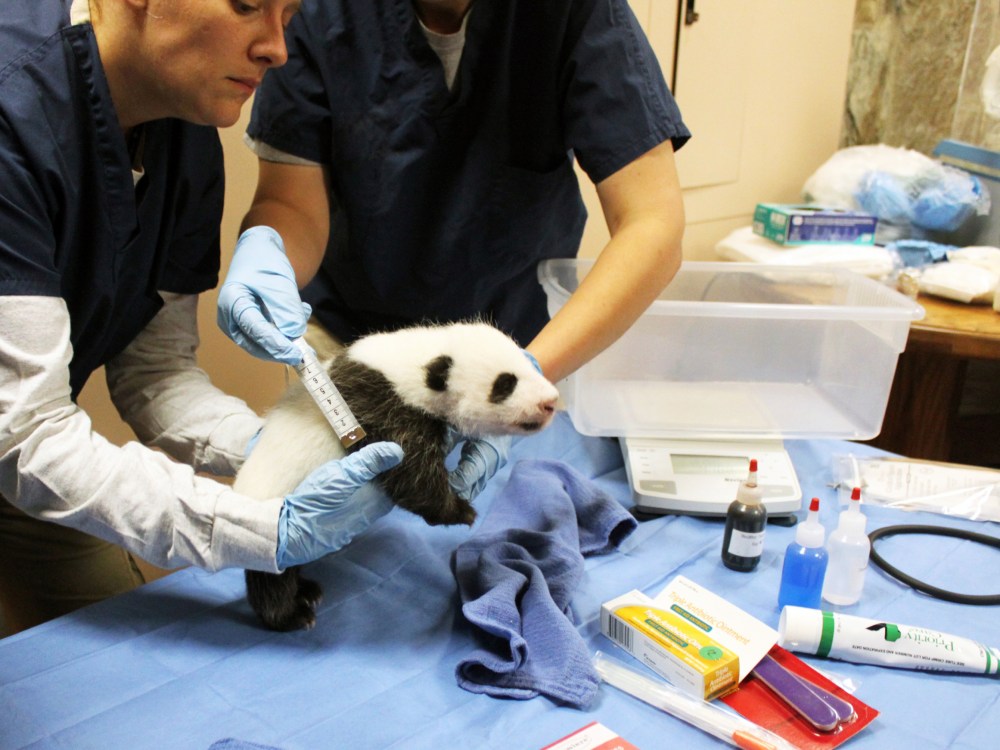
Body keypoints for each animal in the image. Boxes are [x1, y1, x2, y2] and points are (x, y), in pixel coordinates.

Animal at [234, 321, 560, 631]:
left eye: (524, 362)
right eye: (506, 383)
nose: (551, 401)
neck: (411, 362)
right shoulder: (380, 407)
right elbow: (411, 475)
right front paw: (460, 510)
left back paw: (307, 591)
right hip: (274, 528)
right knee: (271, 580)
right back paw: (292, 615)